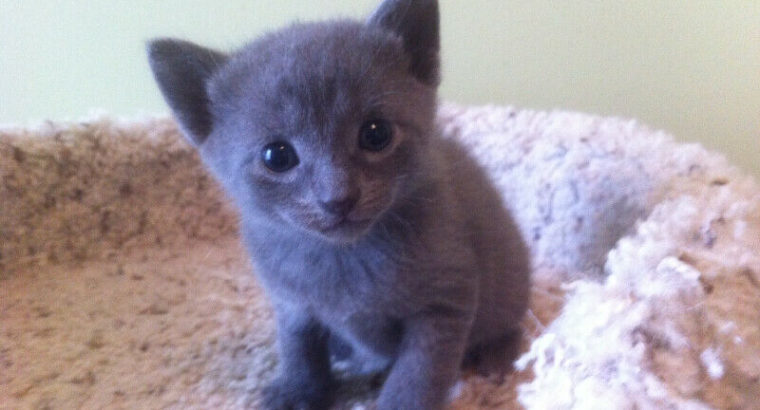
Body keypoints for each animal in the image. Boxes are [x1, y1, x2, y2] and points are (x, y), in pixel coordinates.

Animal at [147, 1, 528, 408]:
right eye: (276, 156)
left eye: (376, 133)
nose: (338, 197)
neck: (344, 258)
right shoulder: (291, 302)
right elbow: (298, 348)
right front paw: (297, 390)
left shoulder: (445, 302)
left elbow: (418, 372)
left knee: (509, 319)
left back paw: (496, 354)